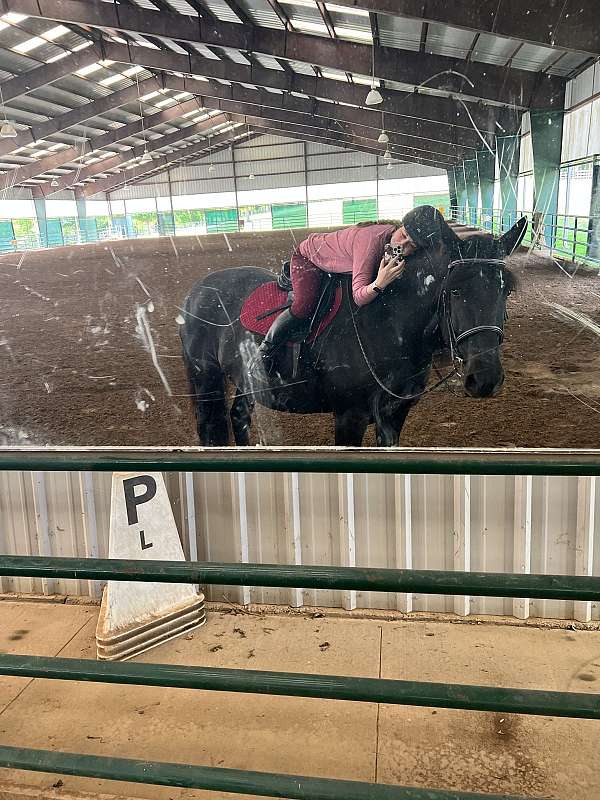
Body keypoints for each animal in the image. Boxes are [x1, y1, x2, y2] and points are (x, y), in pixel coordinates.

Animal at [182, 217, 524, 444]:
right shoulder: (350, 416)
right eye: (454, 289)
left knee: (239, 417)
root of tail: (196, 290)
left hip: (245, 382)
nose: (485, 379)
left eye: (505, 290)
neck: (389, 322)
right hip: (205, 378)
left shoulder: (394, 415)